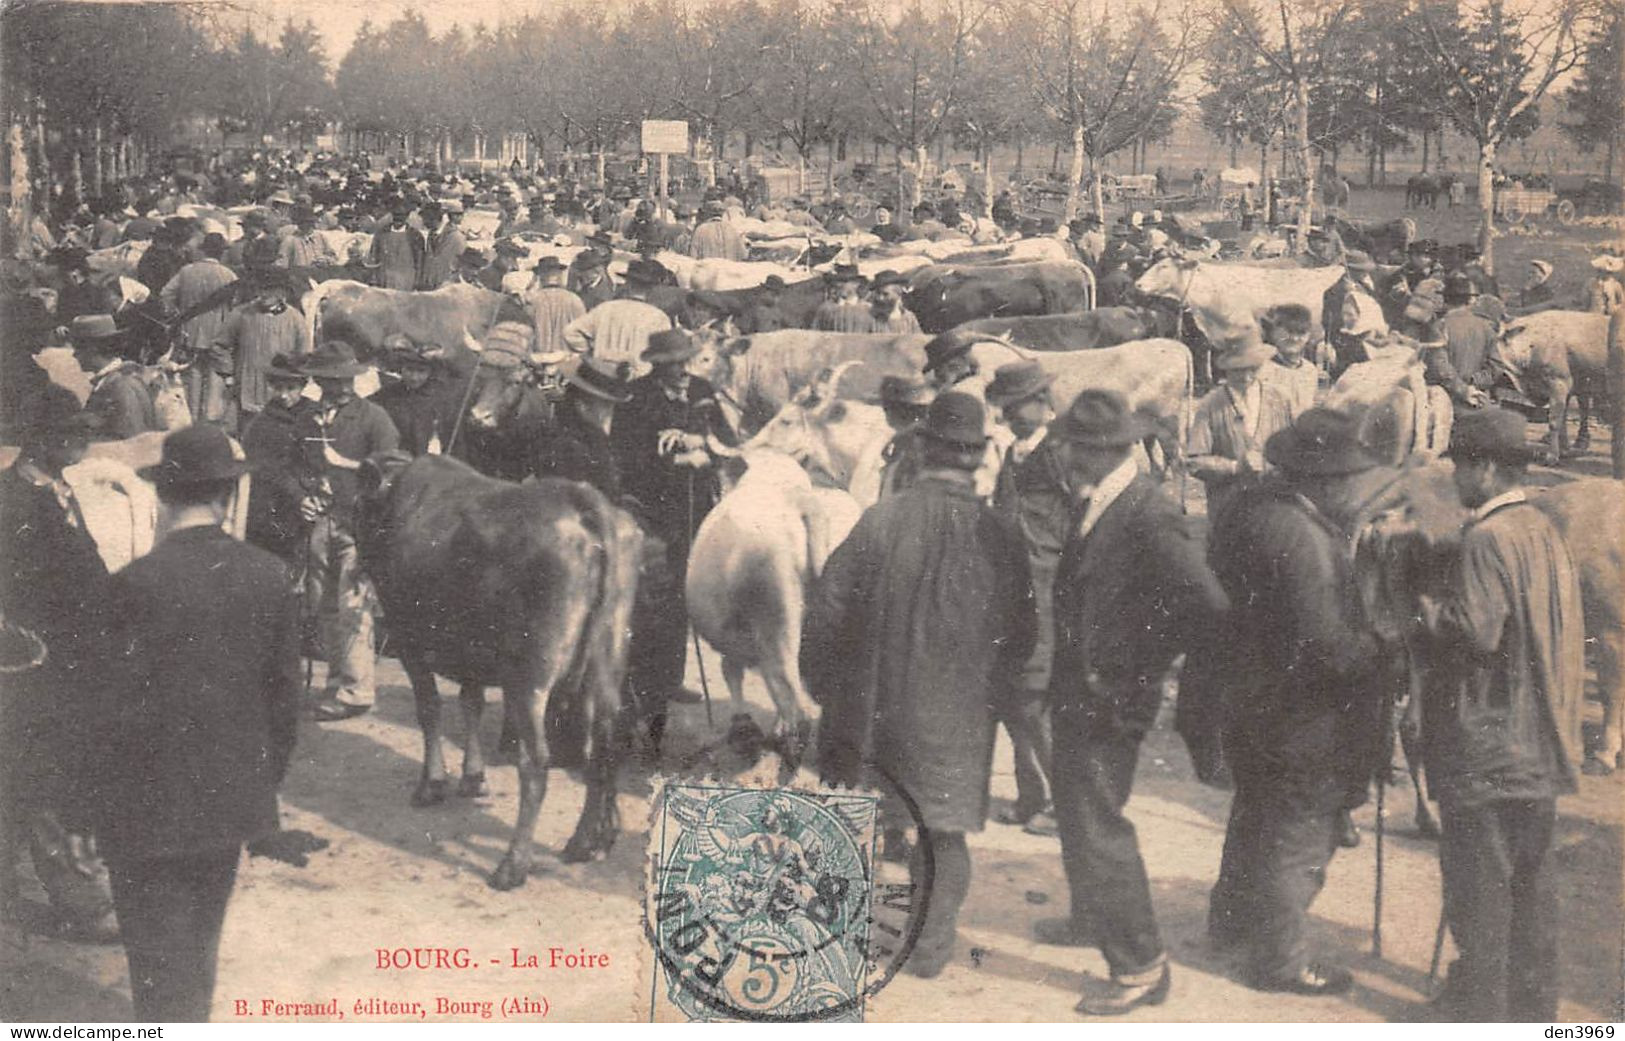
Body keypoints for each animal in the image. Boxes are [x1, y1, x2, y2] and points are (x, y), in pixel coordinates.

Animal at [355, 451, 640, 889]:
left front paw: (431, 785)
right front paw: (473, 779)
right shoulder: (471, 654)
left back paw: (512, 865)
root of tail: (585, 503)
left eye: (355, 501)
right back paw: (586, 843)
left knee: (536, 763)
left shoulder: (409, 640)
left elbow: (430, 709)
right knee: (604, 746)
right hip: (605, 667)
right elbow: (470, 703)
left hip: (528, 679)